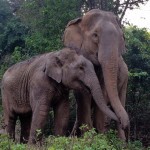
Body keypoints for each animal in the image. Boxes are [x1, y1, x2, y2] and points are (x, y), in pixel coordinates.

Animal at [62, 8, 129, 141]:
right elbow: (83, 96)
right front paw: (88, 139)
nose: (124, 123)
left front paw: (101, 139)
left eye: (121, 37)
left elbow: (102, 93)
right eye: (95, 35)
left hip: (125, 79)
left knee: (121, 99)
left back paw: (122, 142)